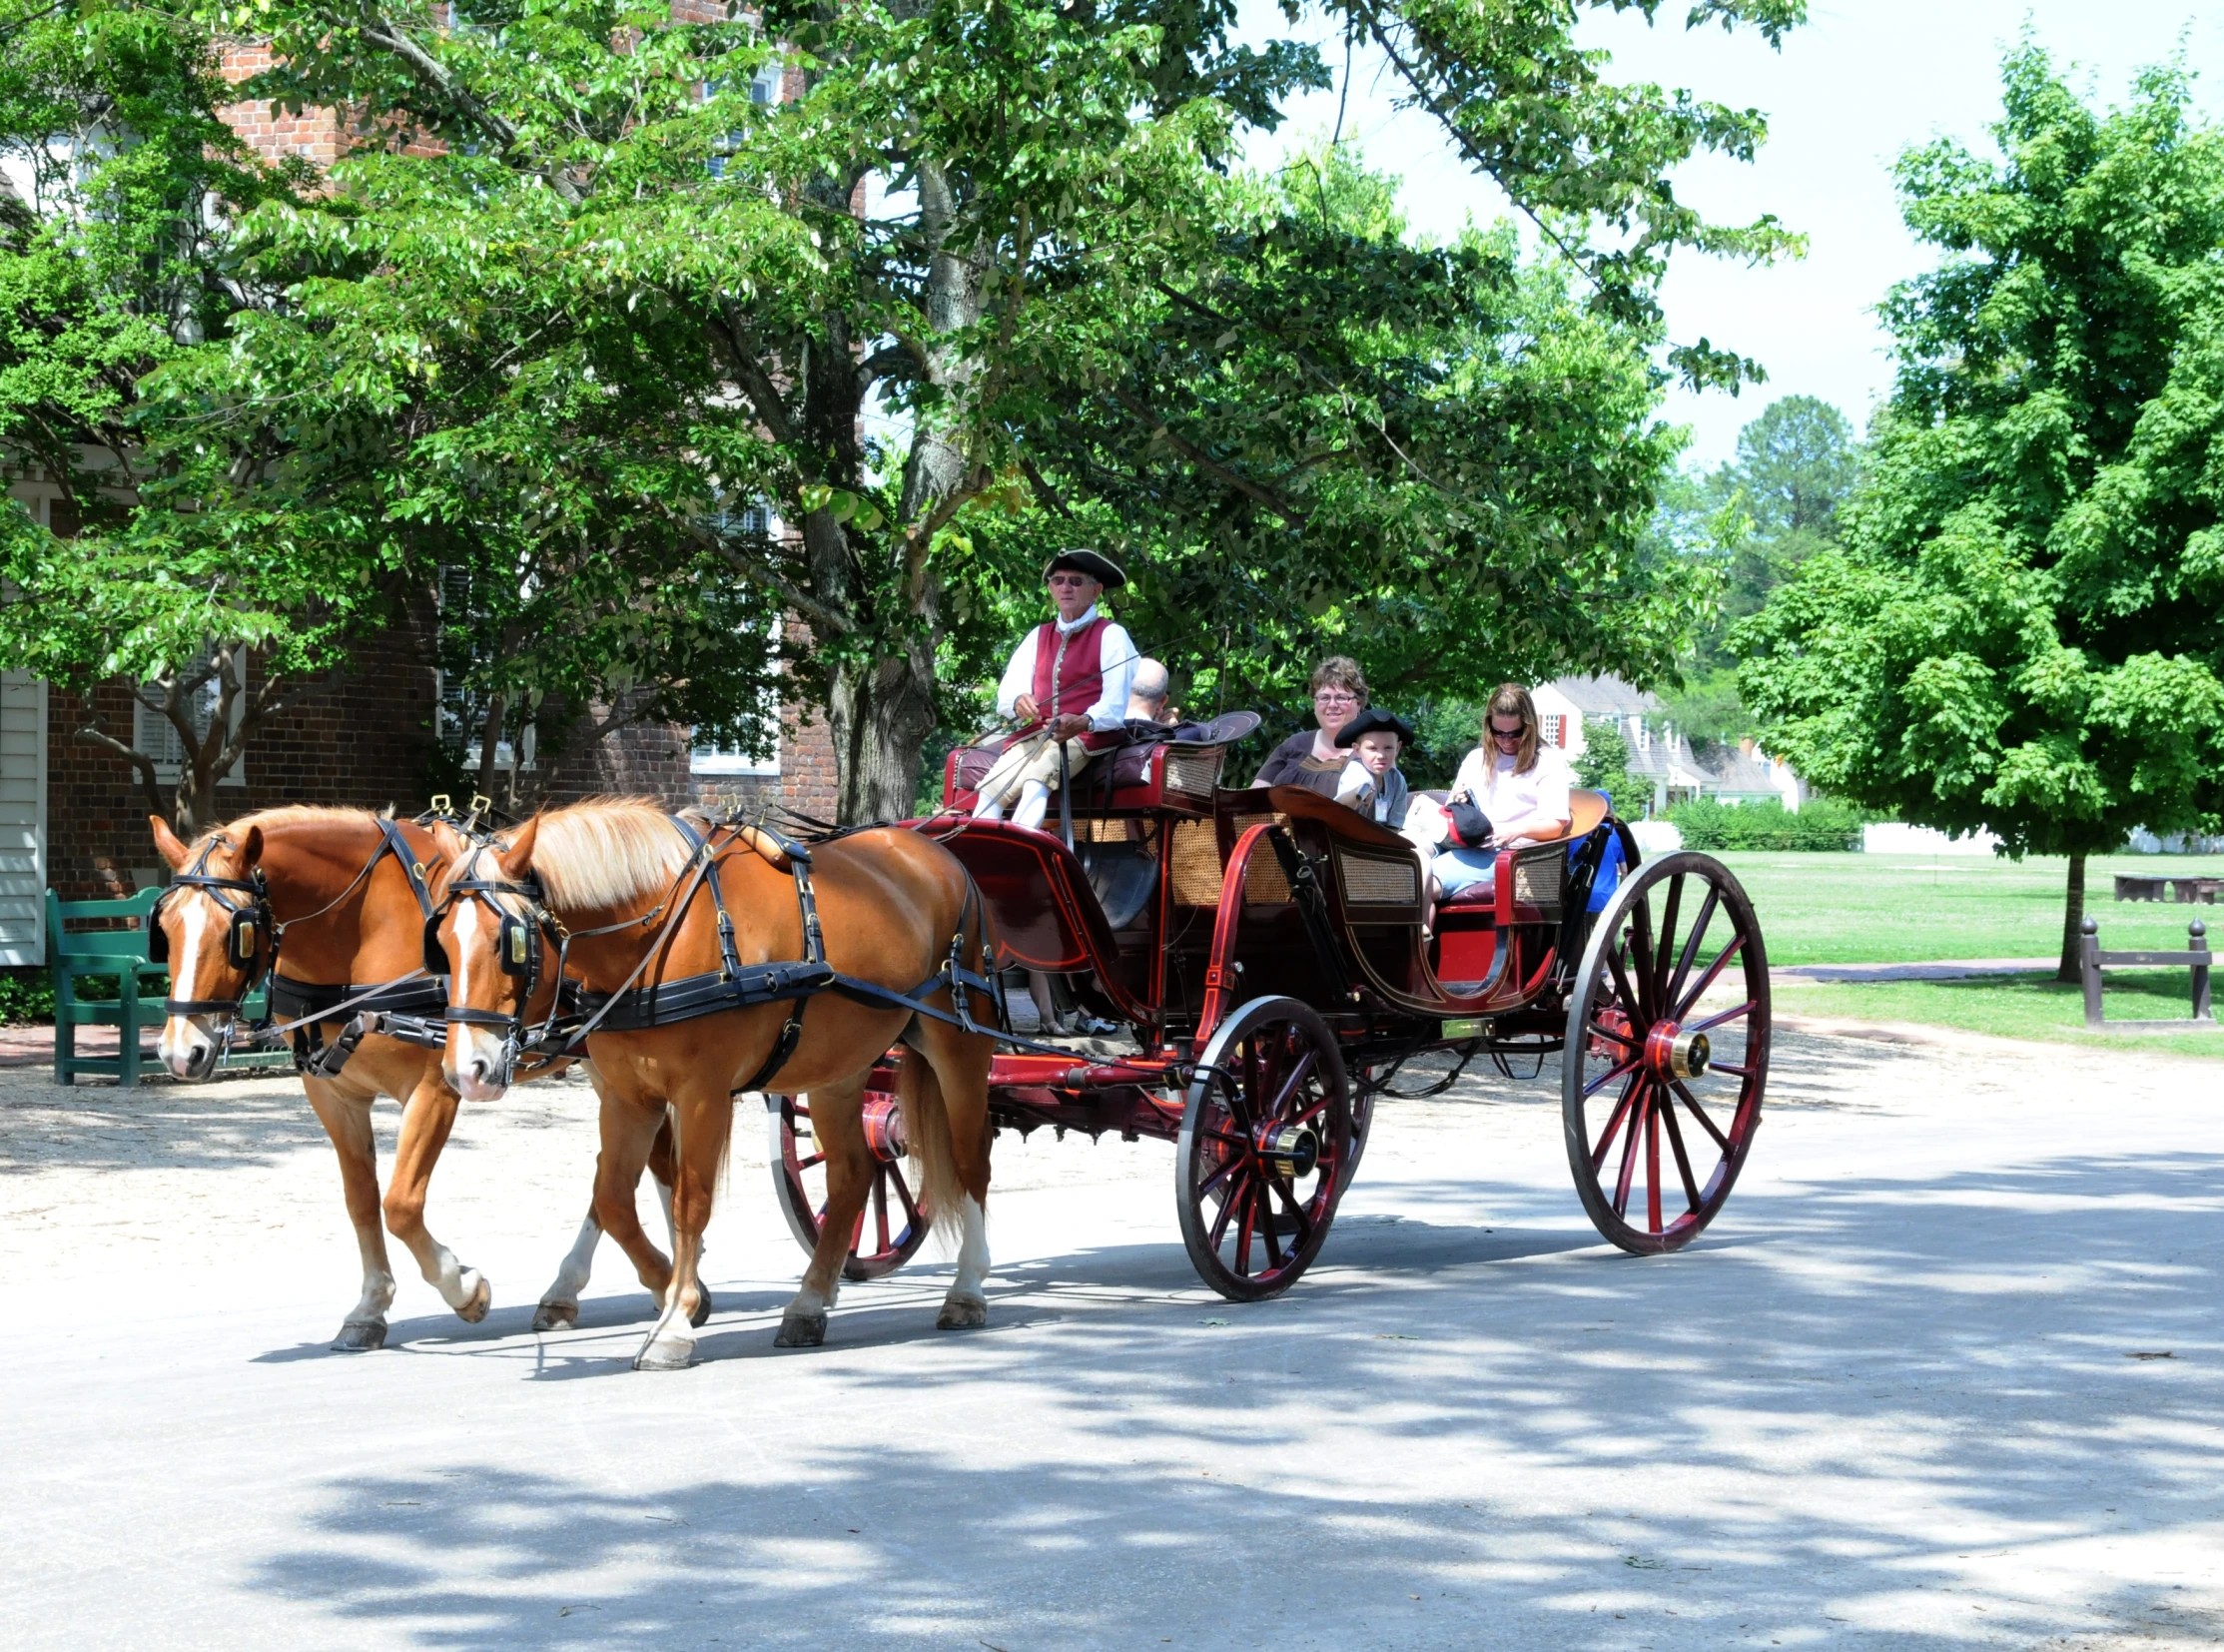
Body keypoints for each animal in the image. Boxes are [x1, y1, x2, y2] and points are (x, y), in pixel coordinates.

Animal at [148, 809, 676, 1351]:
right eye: (164, 928)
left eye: (236, 933)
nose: (179, 1051)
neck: (361, 929)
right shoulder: (333, 1095)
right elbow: (362, 1199)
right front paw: (370, 1306)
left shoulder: (435, 1089)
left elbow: (400, 1203)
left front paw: (463, 1288)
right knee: (638, 1165)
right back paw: (587, 1290)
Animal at [433, 800, 992, 1369]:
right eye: (441, 944)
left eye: (507, 944)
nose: (465, 1072)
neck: (656, 932)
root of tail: (942, 856)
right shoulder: (627, 1096)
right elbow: (613, 1198)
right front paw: (667, 1287)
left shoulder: (702, 1094)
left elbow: (690, 1202)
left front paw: (676, 1319)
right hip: (839, 1067)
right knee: (854, 1174)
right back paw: (810, 1303)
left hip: (959, 1046)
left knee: (970, 1160)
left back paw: (966, 1289)